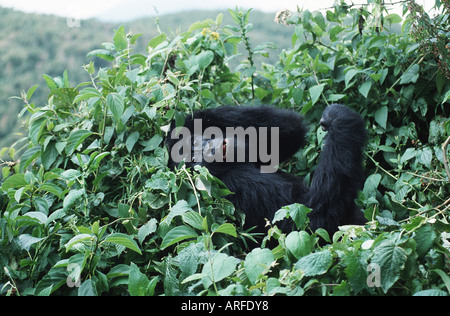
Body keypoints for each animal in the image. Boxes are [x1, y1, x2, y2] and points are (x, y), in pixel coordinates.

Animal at [167, 105, 368, 236]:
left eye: (195, 143)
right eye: (194, 160)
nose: (209, 148)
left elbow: (289, 130)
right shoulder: (239, 185)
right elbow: (310, 217)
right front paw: (338, 117)